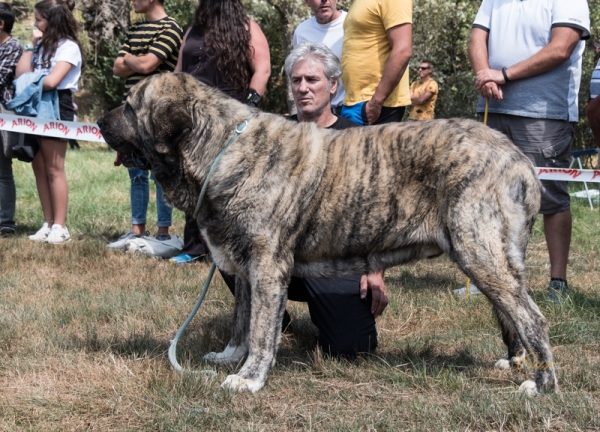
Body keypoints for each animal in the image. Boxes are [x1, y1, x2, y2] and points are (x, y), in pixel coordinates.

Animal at [96, 73, 556, 394]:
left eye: (130, 107)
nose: (99, 120)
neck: (218, 148)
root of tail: (520, 159)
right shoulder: (243, 266)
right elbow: (242, 321)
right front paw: (229, 357)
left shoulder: (267, 266)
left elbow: (261, 330)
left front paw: (249, 378)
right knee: (513, 313)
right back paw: (517, 362)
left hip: (479, 252)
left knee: (531, 317)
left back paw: (542, 385)